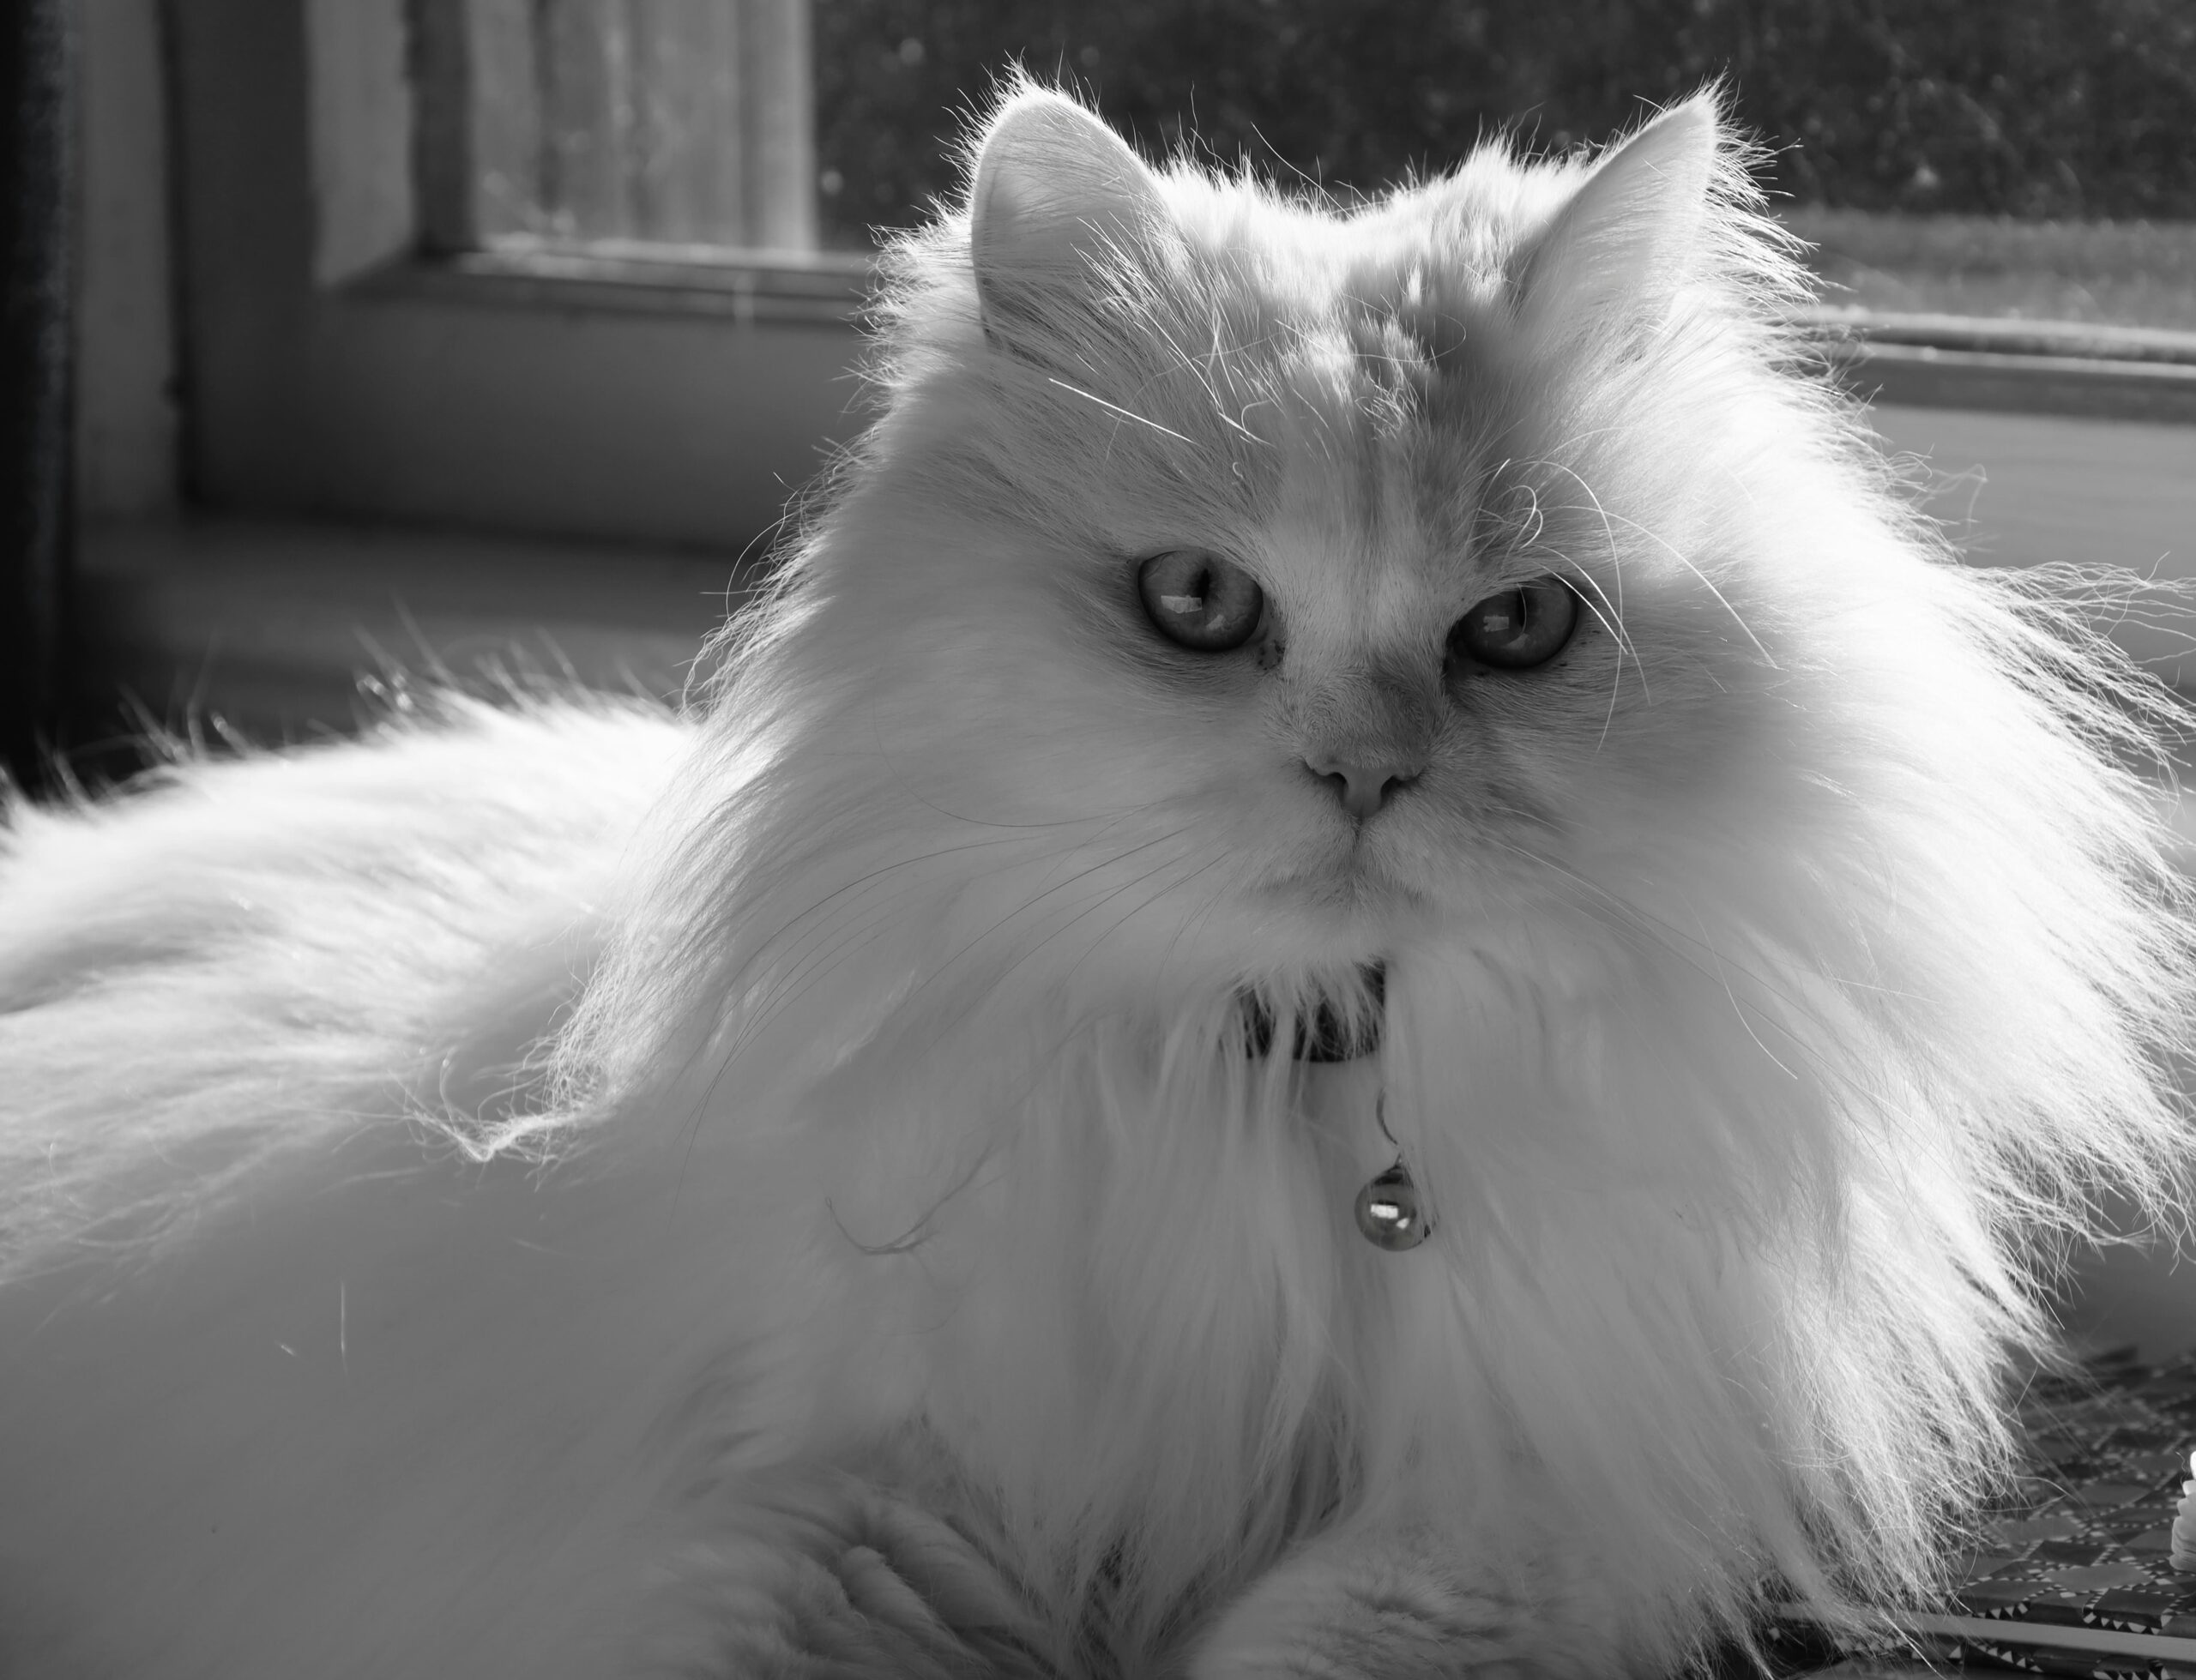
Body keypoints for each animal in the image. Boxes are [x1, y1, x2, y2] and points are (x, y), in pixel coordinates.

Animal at [4, 81, 2196, 1677]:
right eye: (1197, 604)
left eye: (1512, 631)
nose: (1360, 771)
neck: (1289, 1099)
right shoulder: (848, 1497)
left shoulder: (1525, 1505)